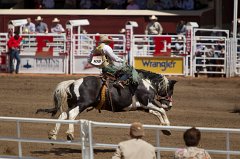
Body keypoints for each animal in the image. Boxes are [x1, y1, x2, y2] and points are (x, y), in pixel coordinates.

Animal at [36, 69, 177, 140]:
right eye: (170, 90)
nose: (169, 105)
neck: (145, 84)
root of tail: (73, 82)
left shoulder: (142, 107)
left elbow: (157, 113)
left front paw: (164, 128)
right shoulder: (147, 102)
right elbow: (161, 111)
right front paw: (167, 126)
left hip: (75, 103)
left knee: (63, 115)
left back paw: (53, 134)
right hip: (82, 103)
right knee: (71, 114)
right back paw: (70, 133)